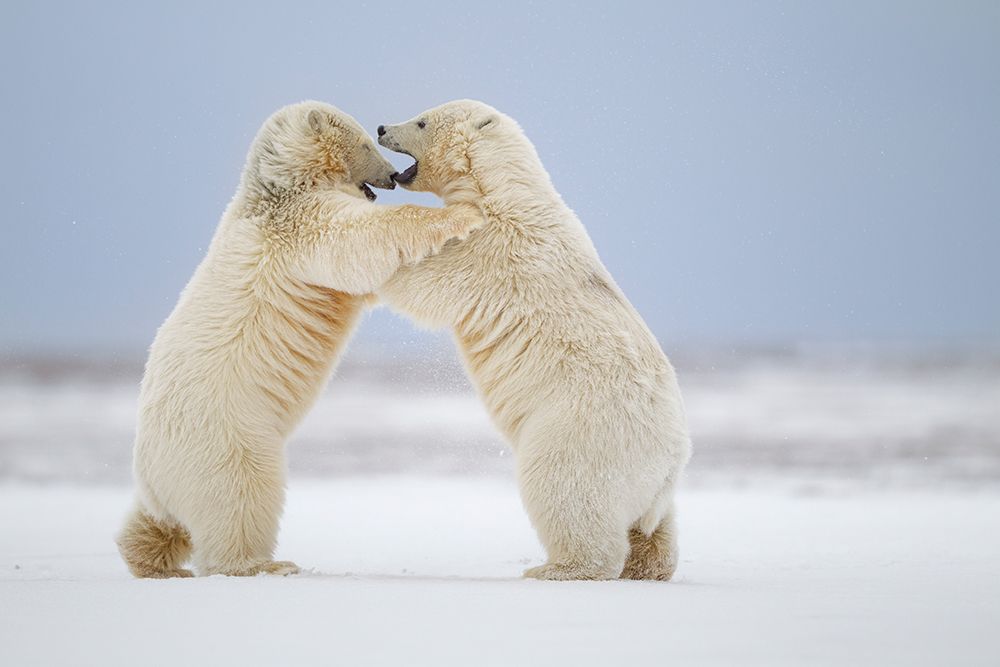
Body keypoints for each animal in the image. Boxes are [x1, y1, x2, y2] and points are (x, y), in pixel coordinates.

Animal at [117, 101, 483, 578]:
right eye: (364, 143)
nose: (388, 175)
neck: (278, 189)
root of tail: (150, 466)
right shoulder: (299, 229)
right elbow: (360, 241)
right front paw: (463, 215)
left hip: (169, 474)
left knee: (154, 521)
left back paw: (150, 558)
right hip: (226, 438)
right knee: (241, 497)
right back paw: (262, 564)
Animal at [376, 100, 691, 581]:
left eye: (421, 121)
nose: (380, 127)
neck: (502, 191)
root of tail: (670, 464)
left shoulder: (492, 248)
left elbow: (427, 280)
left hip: (581, 430)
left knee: (562, 489)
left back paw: (557, 568)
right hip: (654, 483)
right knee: (657, 528)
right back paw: (648, 567)